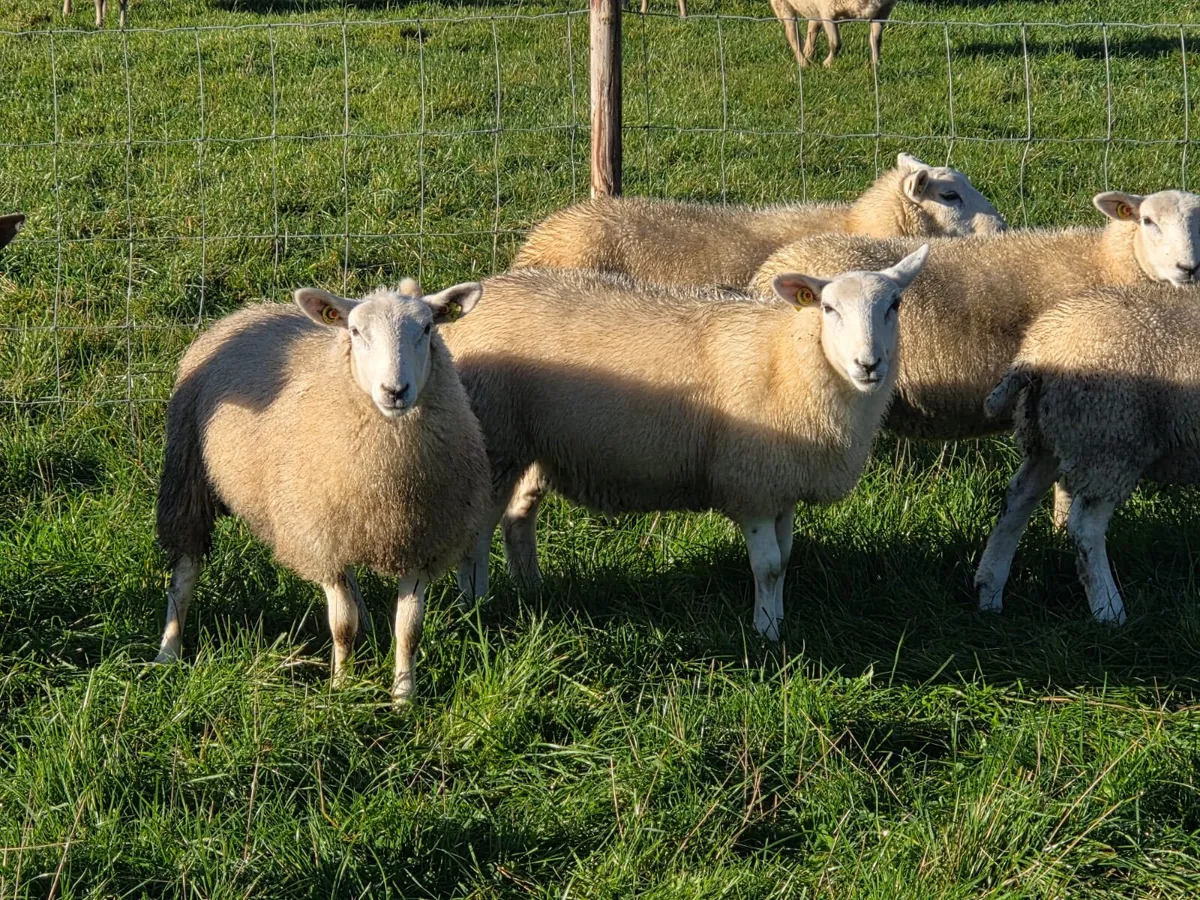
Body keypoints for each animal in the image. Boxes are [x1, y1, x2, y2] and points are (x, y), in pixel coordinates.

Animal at [154, 278, 491, 703]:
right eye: (356, 331)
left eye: (427, 328)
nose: (395, 391)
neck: (389, 478)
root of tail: (249, 311)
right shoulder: (321, 540)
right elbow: (341, 625)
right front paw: (342, 688)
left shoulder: (419, 543)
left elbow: (409, 630)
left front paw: (403, 696)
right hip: (187, 475)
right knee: (184, 573)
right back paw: (168, 652)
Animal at [444, 248, 930, 640]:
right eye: (828, 308)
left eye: (895, 305)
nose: (869, 364)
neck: (789, 356)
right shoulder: (752, 483)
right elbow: (769, 565)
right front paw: (766, 633)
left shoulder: (782, 483)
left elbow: (787, 557)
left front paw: (779, 618)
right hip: (495, 440)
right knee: (477, 533)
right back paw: (477, 604)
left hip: (531, 444)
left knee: (517, 517)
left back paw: (532, 588)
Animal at [975, 282, 1200, 626]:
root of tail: (1040, 348)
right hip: (1109, 442)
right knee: (1084, 529)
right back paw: (1109, 610)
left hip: (1054, 435)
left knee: (1016, 500)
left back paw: (990, 591)